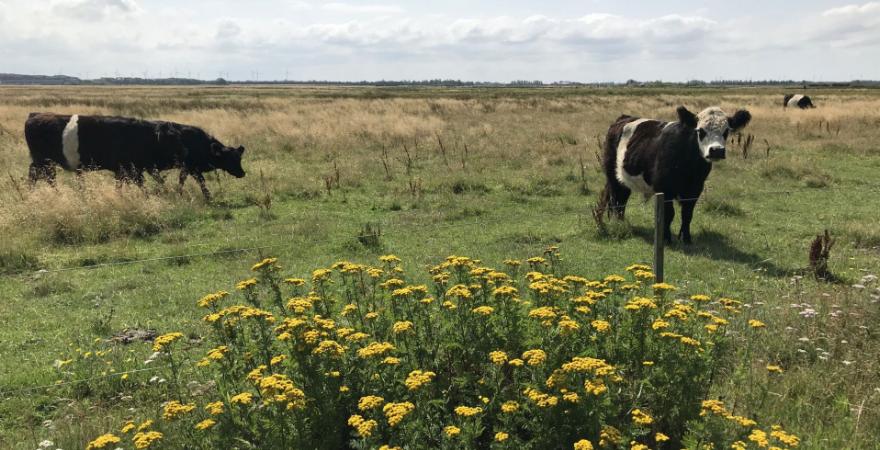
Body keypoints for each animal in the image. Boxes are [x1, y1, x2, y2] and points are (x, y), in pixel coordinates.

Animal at [24, 112, 244, 199]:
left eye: (239, 158)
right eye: (229, 158)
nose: (242, 173)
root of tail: (34, 115)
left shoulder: (130, 169)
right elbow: (197, 181)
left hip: (44, 162)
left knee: (44, 177)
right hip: (42, 161)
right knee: (40, 177)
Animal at [600, 105, 752, 243]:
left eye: (726, 131)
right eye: (700, 131)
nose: (716, 150)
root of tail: (623, 117)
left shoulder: (695, 189)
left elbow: (687, 214)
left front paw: (686, 238)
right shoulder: (664, 189)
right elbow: (669, 214)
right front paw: (666, 238)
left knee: (621, 199)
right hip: (613, 177)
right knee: (617, 200)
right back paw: (618, 224)